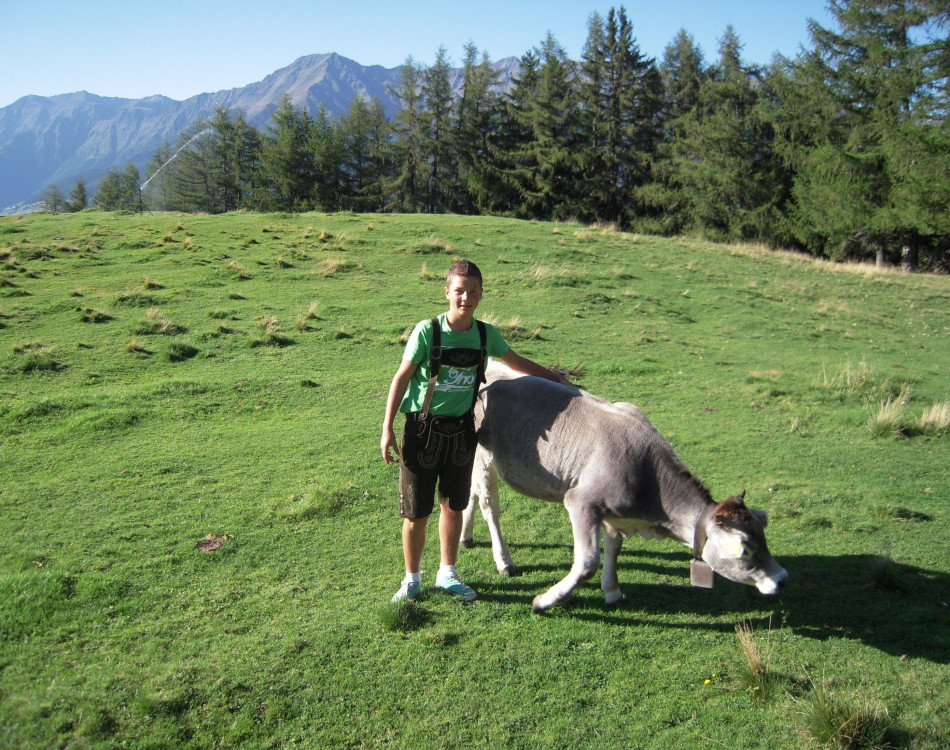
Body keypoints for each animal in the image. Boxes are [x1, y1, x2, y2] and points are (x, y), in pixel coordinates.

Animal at [462, 362, 788, 612]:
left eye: (763, 537)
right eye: (745, 549)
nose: (782, 579)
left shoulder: (614, 513)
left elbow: (614, 548)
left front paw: (612, 591)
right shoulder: (581, 502)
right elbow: (587, 563)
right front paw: (545, 601)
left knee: (471, 494)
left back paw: (466, 537)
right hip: (484, 455)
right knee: (489, 505)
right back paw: (504, 560)